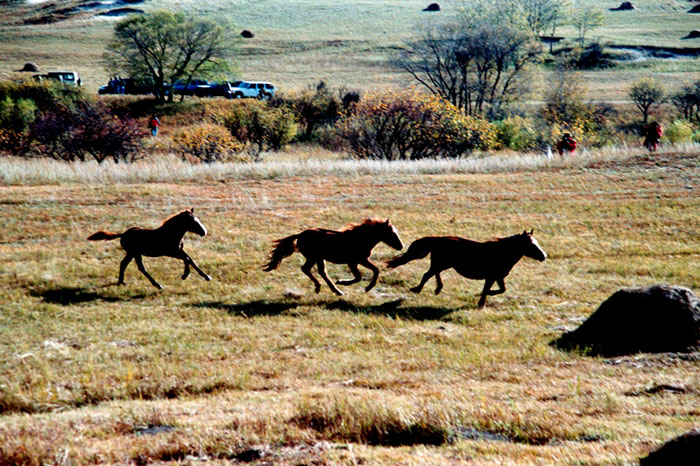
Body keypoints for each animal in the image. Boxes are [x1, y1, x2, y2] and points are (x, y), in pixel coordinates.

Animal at [262, 219, 404, 294]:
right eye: (392, 233)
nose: (401, 246)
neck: (360, 238)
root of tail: (299, 235)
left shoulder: (361, 260)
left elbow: (375, 270)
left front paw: (367, 287)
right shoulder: (354, 261)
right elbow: (360, 276)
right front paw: (345, 282)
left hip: (318, 258)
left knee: (319, 271)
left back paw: (332, 290)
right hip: (313, 257)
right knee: (308, 269)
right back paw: (329, 288)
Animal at [388, 229, 548, 306]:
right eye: (531, 244)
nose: (544, 256)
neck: (501, 252)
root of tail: (437, 239)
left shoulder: (498, 277)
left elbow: (502, 289)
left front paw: (482, 300)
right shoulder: (491, 277)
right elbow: (488, 290)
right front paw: (480, 302)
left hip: (442, 264)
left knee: (433, 274)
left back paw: (438, 288)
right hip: (441, 263)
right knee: (427, 275)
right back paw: (417, 289)